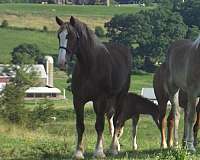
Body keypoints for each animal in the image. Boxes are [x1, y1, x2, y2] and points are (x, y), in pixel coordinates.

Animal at [55, 16, 132, 159]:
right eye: (59, 36)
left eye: (71, 36)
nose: (62, 62)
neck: (89, 67)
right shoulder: (78, 100)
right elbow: (80, 125)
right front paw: (78, 152)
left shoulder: (100, 100)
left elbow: (99, 125)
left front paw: (99, 152)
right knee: (110, 119)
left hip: (120, 97)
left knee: (116, 121)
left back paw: (114, 148)